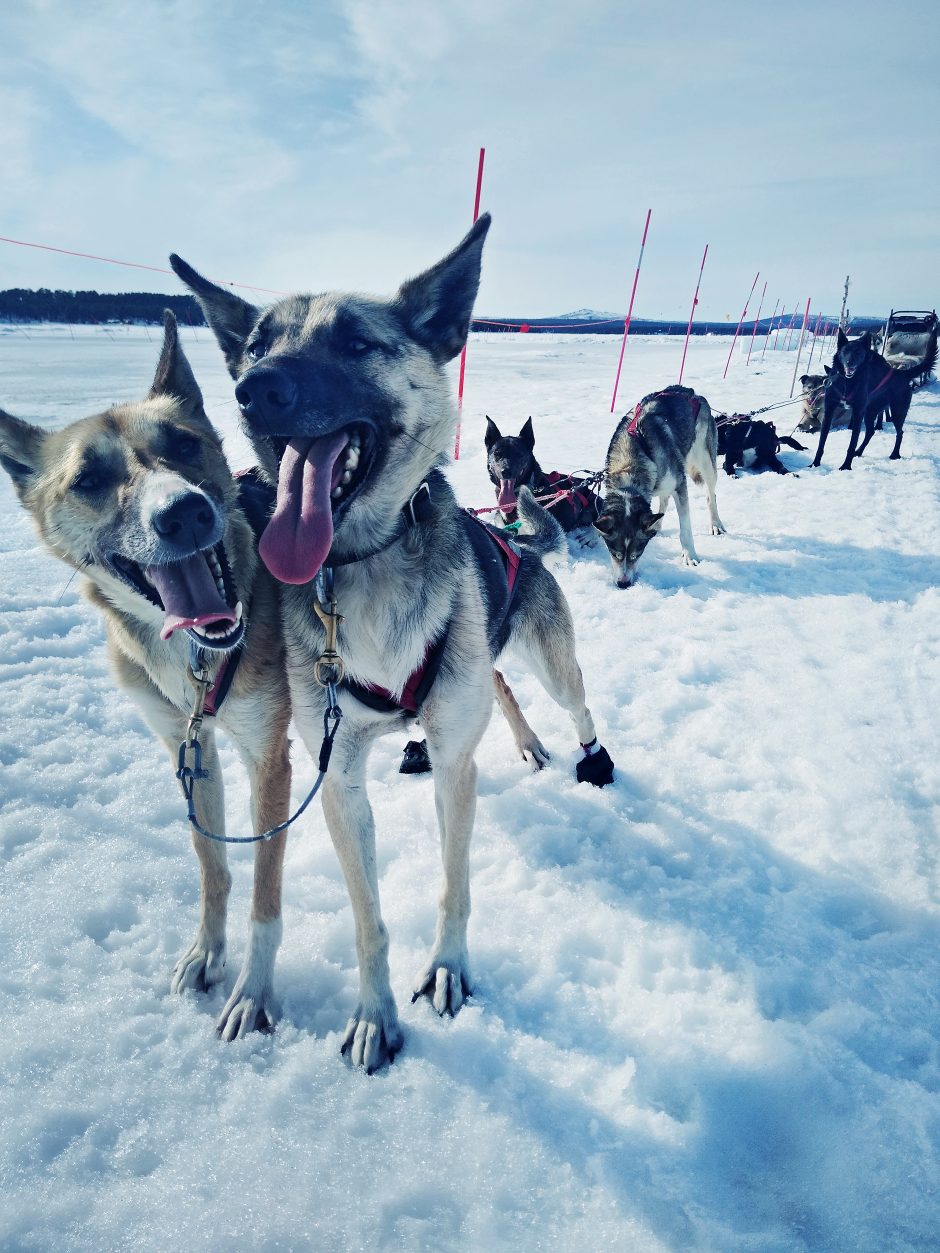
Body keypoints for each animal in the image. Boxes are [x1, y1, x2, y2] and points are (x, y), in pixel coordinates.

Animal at [0, 310, 293, 1037]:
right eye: (87, 480)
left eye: (184, 444)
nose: (183, 511)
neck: (195, 661)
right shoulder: (189, 747)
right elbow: (213, 866)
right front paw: (207, 951)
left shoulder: (268, 756)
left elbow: (264, 890)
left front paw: (253, 989)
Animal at [170, 213, 619, 1067]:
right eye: (257, 343)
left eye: (354, 341)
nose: (255, 388)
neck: (362, 567)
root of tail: (518, 537)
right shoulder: (337, 777)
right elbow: (367, 919)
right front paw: (373, 1014)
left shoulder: (455, 764)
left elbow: (453, 883)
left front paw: (446, 969)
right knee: (501, 696)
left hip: (553, 663)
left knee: (574, 704)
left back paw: (591, 758)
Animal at [596, 383, 726, 588]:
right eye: (615, 554)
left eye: (637, 554)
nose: (623, 584)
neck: (630, 465)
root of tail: (691, 392)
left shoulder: (680, 485)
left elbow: (685, 529)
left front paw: (689, 555)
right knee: (664, 499)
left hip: (706, 462)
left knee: (710, 495)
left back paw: (715, 524)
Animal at [812, 328, 917, 471]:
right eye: (845, 351)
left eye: (858, 352)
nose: (850, 363)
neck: (847, 382)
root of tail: (901, 373)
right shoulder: (829, 411)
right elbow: (821, 443)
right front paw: (814, 464)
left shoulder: (857, 413)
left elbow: (851, 444)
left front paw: (846, 466)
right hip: (870, 412)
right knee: (870, 432)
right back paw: (859, 451)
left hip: (897, 412)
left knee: (900, 432)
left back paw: (895, 454)